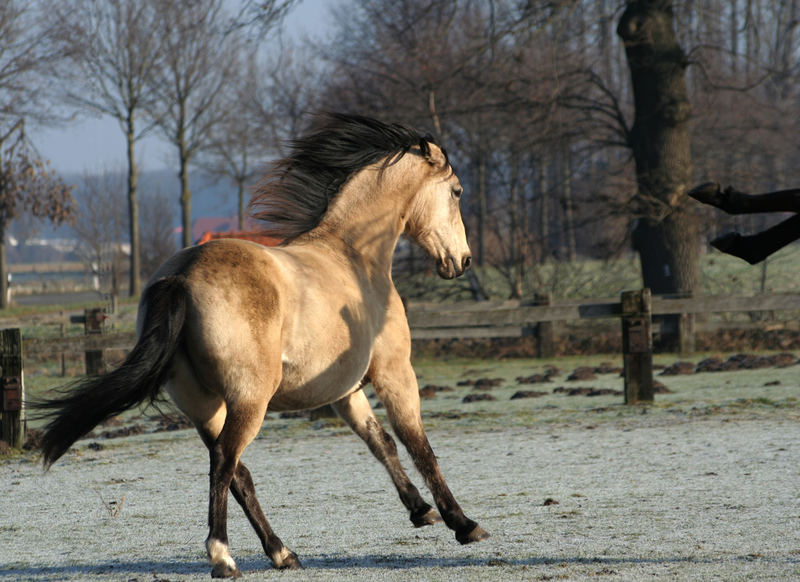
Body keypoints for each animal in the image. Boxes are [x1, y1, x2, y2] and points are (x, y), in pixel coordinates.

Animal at [34, 113, 488, 580]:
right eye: (457, 191)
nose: (463, 261)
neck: (353, 257)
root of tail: (181, 275)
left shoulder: (345, 391)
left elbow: (381, 443)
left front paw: (420, 510)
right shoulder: (393, 371)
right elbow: (419, 445)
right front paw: (462, 523)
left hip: (204, 405)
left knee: (237, 472)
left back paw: (281, 552)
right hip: (250, 400)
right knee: (224, 461)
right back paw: (223, 556)